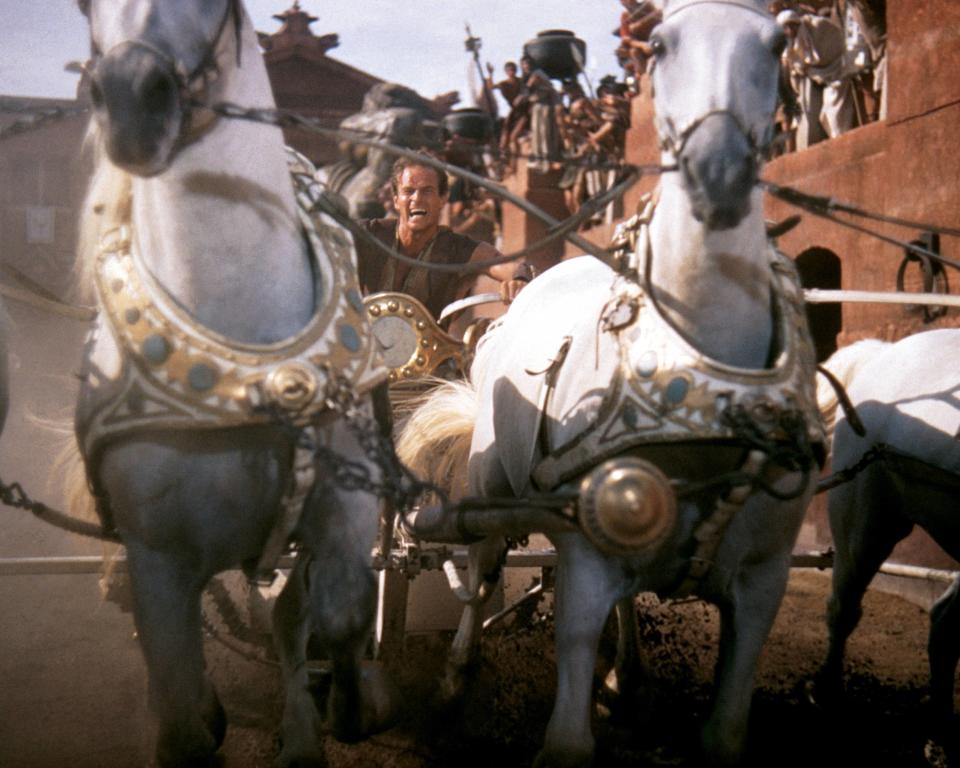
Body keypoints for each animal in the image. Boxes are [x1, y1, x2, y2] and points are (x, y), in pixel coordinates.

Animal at [71, 3, 394, 764]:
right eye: (81, 8)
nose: (132, 102)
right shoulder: (155, 558)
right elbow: (181, 706)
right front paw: (200, 721)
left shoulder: (345, 499)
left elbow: (338, 611)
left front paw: (350, 706)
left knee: (291, 615)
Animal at [398, 3, 824, 764]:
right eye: (657, 45)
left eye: (778, 43)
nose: (718, 171)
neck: (706, 403)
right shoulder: (586, 561)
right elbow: (568, 734)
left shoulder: (764, 580)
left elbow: (725, 732)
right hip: (489, 484)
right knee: (479, 566)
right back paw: (454, 678)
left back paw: (626, 676)